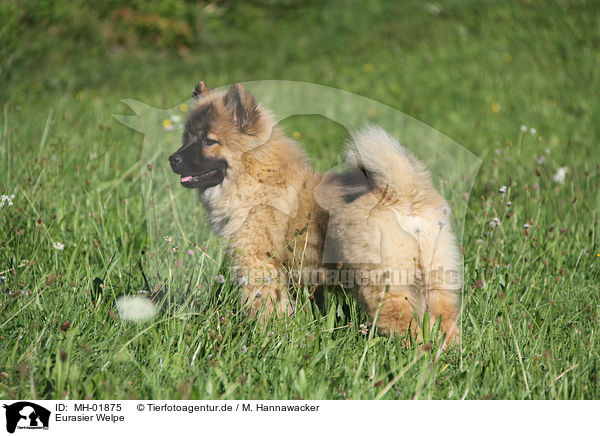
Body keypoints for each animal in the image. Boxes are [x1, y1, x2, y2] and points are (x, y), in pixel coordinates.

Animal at [169, 81, 460, 340]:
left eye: (208, 141)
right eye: (187, 137)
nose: (173, 158)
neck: (257, 177)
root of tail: (403, 193)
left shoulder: (258, 265)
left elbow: (266, 309)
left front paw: (266, 336)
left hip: (383, 284)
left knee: (406, 324)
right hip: (435, 280)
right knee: (445, 324)